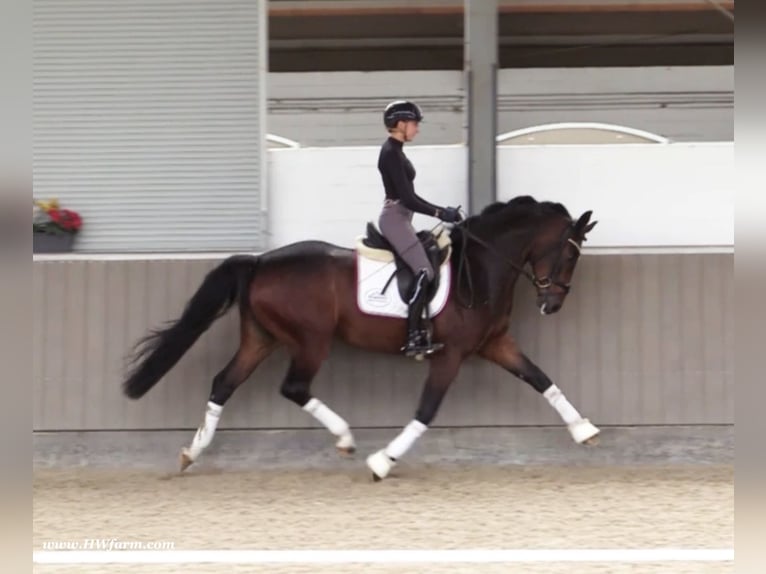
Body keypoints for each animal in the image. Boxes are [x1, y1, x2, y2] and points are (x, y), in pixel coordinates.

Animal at [121, 195, 600, 482]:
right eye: (569, 254)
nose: (552, 305)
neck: (481, 267)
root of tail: (259, 262)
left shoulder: (495, 344)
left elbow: (541, 378)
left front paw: (585, 430)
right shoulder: (452, 355)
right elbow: (426, 411)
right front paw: (383, 461)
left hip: (261, 338)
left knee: (224, 382)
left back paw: (191, 452)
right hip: (311, 340)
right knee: (293, 387)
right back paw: (347, 439)